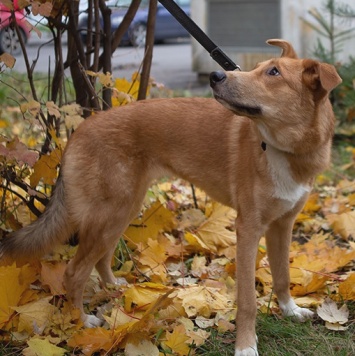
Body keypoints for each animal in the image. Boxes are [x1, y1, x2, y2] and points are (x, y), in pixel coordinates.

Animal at [1, 39, 344, 356]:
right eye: (259, 68)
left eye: (273, 72)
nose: (216, 75)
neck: (287, 150)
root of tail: (81, 128)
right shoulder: (248, 229)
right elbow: (247, 300)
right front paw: (246, 346)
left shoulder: (282, 226)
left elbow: (283, 276)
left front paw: (290, 310)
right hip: (110, 212)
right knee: (74, 272)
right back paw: (80, 322)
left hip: (122, 209)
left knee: (100, 257)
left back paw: (114, 288)